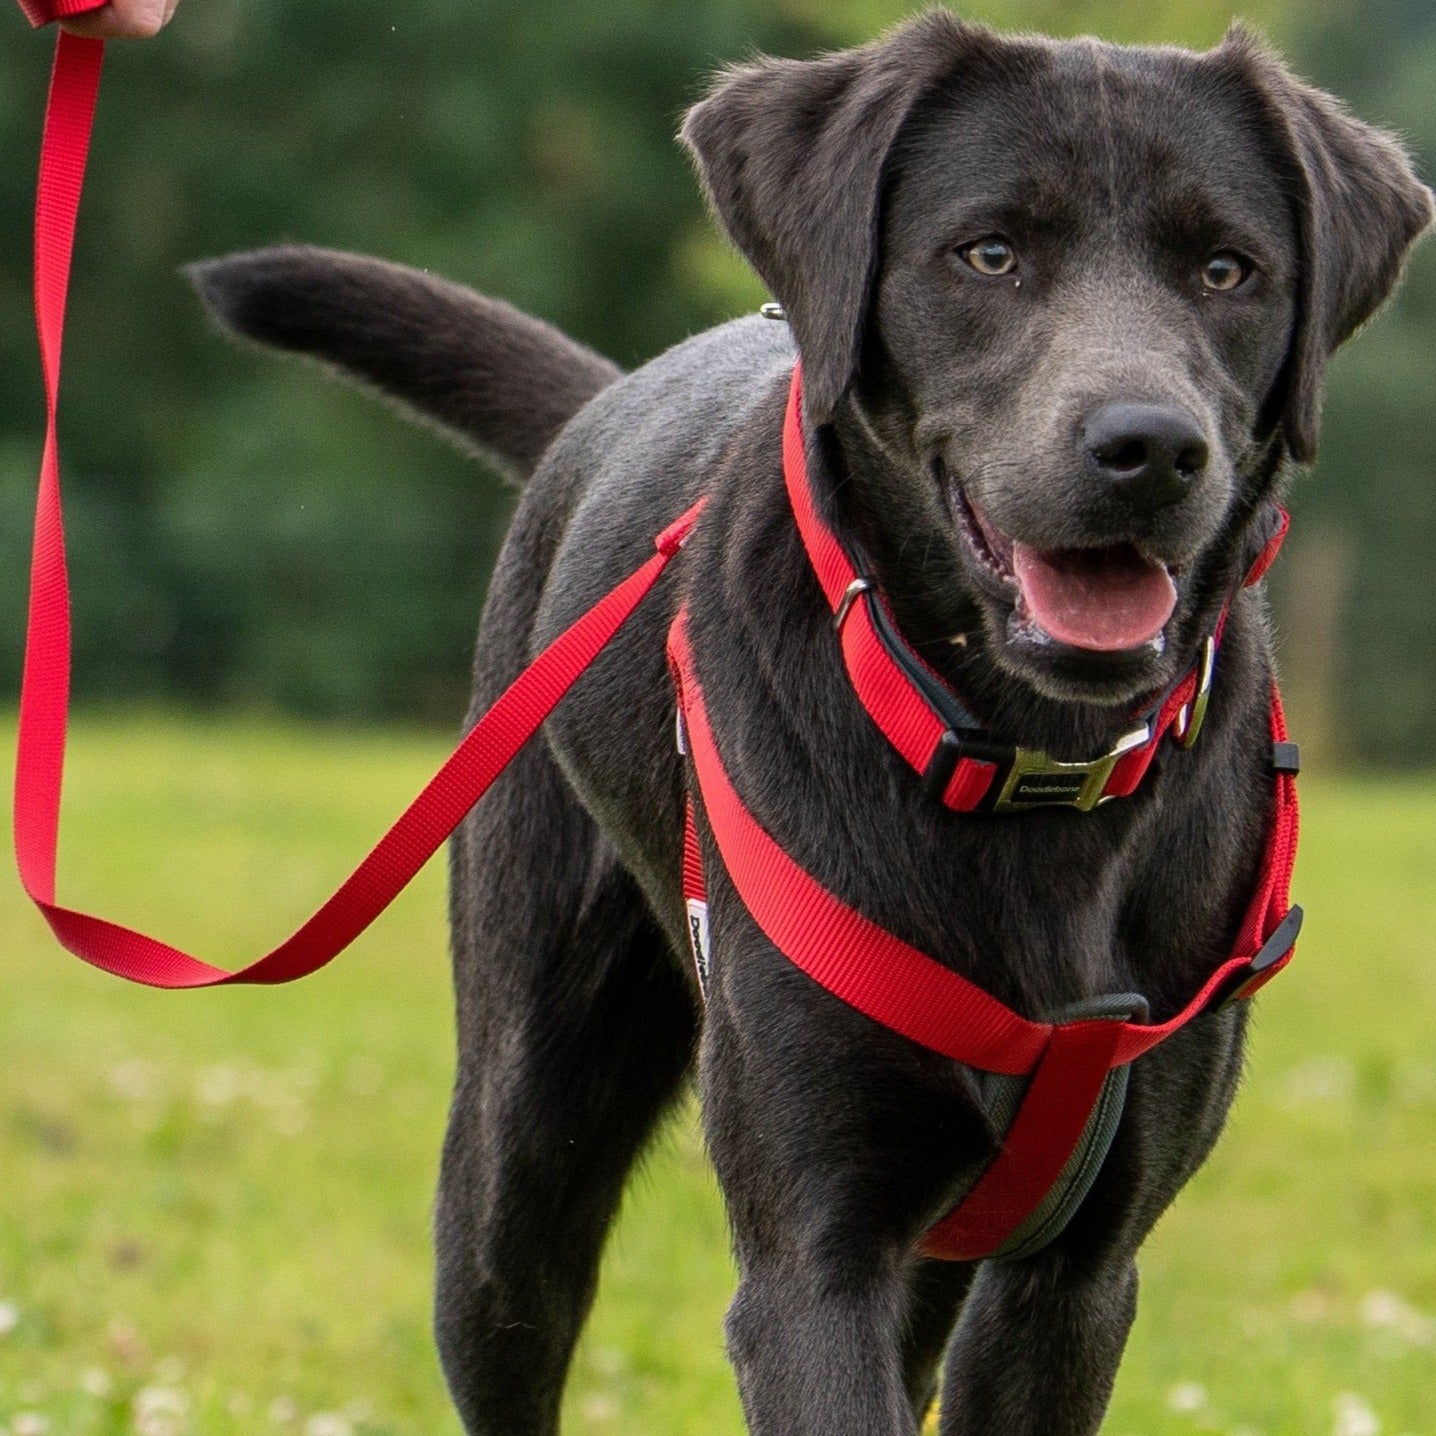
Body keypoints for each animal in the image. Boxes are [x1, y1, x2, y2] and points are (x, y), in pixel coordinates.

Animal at [188, 14, 1424, 1436]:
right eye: (988, 252)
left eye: (1226, 269)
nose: (1151, 448)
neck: (1025, 767)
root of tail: (608, 399)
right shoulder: (811, 1255)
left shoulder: (1076, 1275)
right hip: (514, 1156)